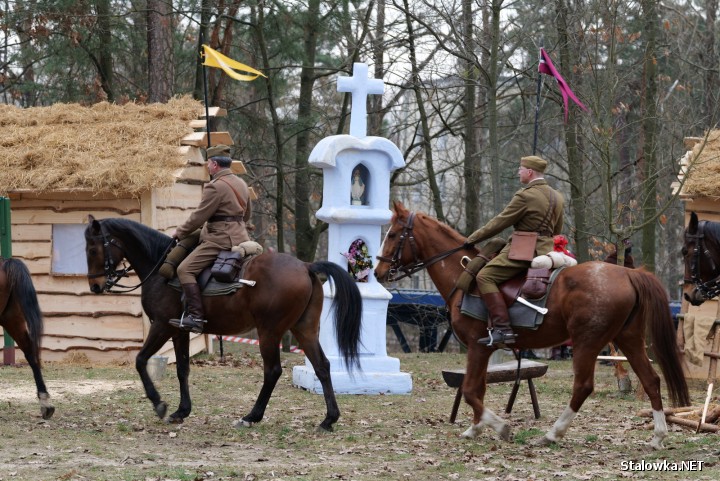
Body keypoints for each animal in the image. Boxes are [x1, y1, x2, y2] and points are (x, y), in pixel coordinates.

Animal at [85, 216, 362, 430]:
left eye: (92, 249)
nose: (95, 286)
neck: (160, 265)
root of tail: (306, 266)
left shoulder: (162, 326)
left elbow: (141, 361)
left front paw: (159, 404)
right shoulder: (179, 330)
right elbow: (182, 369)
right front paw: (181, 411)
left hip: (269, 332)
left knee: (272, 371)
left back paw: (252, 416)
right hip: (304, 330)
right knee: (322, 367)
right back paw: (329, 419)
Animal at [374, 201, 688, 448]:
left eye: (393, 234)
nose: (377, 271)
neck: (462, 273)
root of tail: (628, 273)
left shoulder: (478, 347)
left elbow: (471, 390)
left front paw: (498, 426)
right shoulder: (483, 351)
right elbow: (477, 389)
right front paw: (476, 428)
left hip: (586, 343)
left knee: (583, 386)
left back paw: (552, 434)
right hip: (629, 340)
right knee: (651, 380)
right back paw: (658, 436)